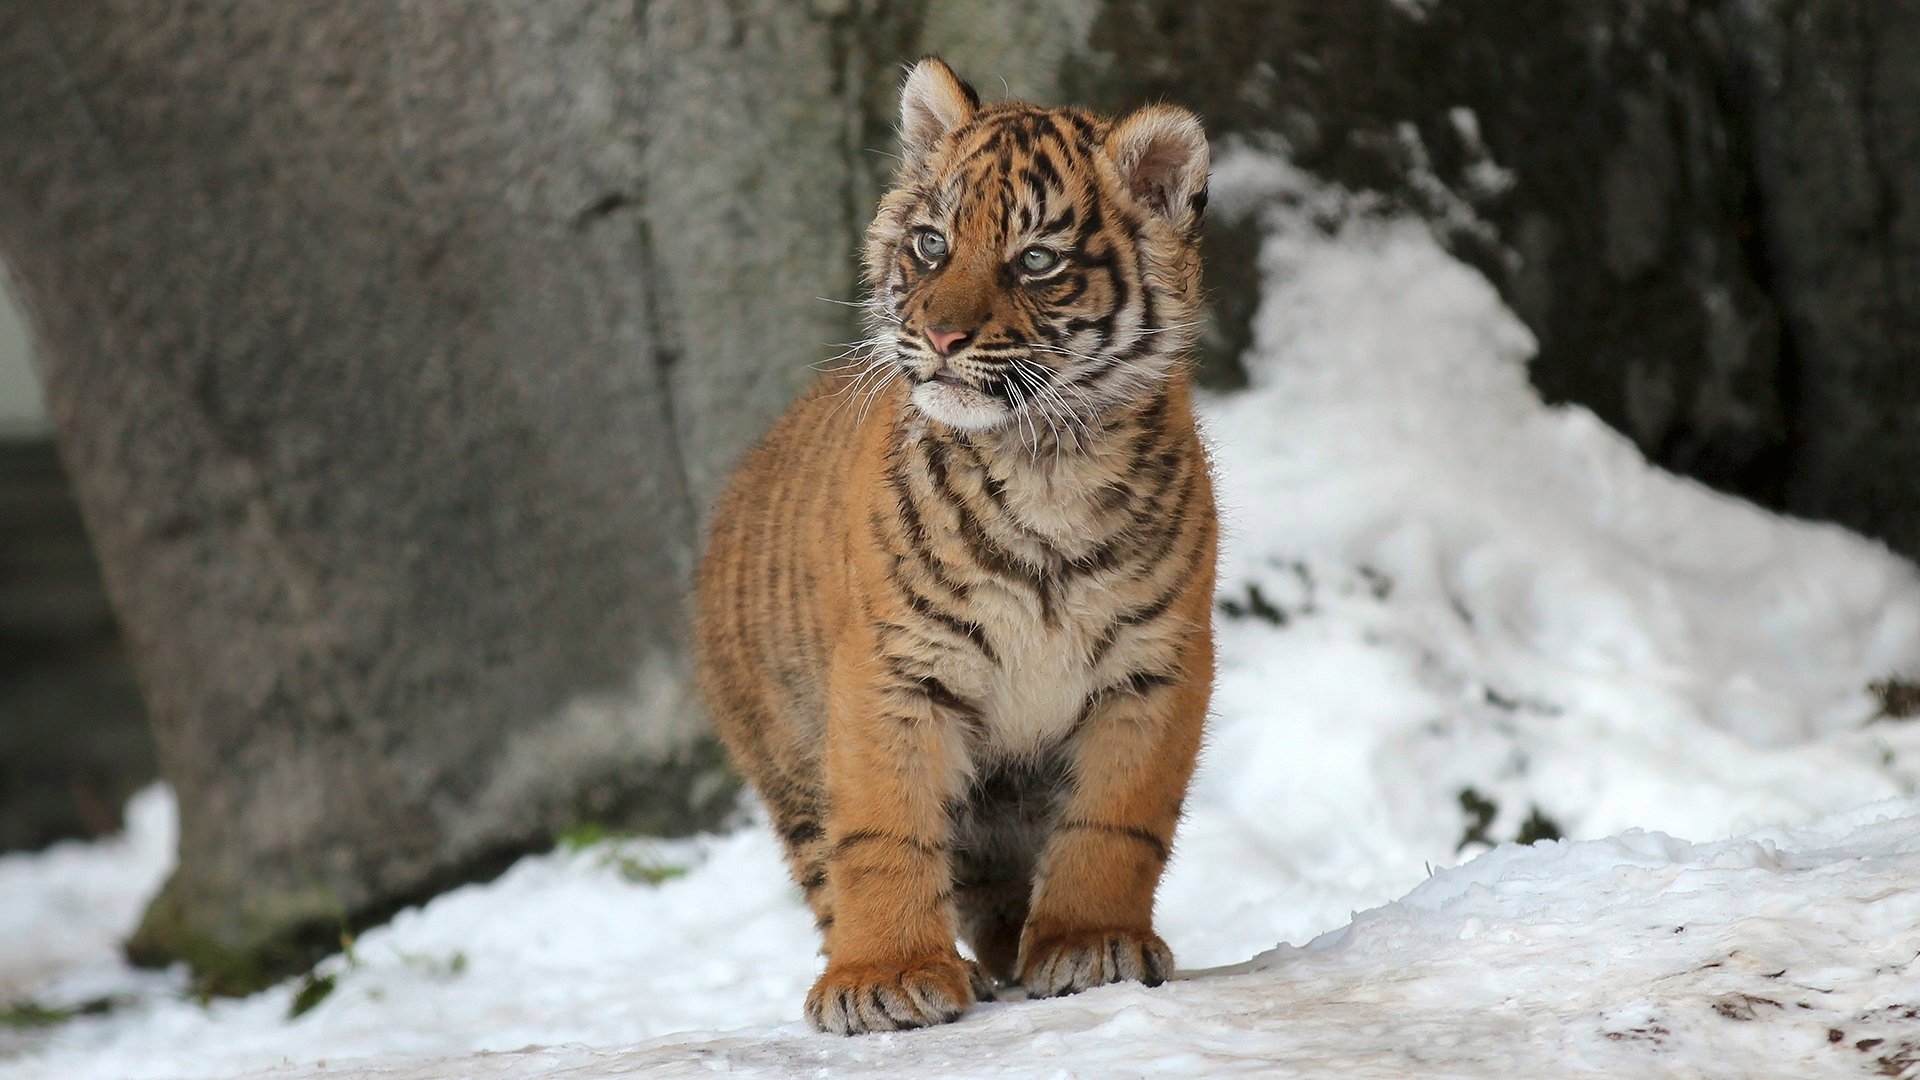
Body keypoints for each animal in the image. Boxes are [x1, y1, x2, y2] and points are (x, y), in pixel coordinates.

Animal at [693, 56, 1217, 1035]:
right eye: (932, 245)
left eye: (1037, 259)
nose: (939, 336)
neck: (1047, 462)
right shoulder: (893, 671)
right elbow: (885, 830)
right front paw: (884, 978)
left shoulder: (1155, 671)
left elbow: (1114, 825)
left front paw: (1091, 943)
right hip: (785, 756)